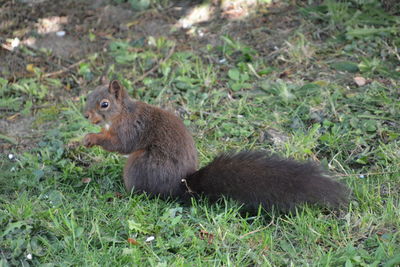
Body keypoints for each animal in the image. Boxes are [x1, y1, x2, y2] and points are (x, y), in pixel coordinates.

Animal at [83, 80, 348, 213]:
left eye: (104, 104)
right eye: (88, 96)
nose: (85, 115)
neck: (122, 113)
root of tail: (183, 187)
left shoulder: (131, 128)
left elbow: (120, 145)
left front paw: (91, 138)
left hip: (139, 165)